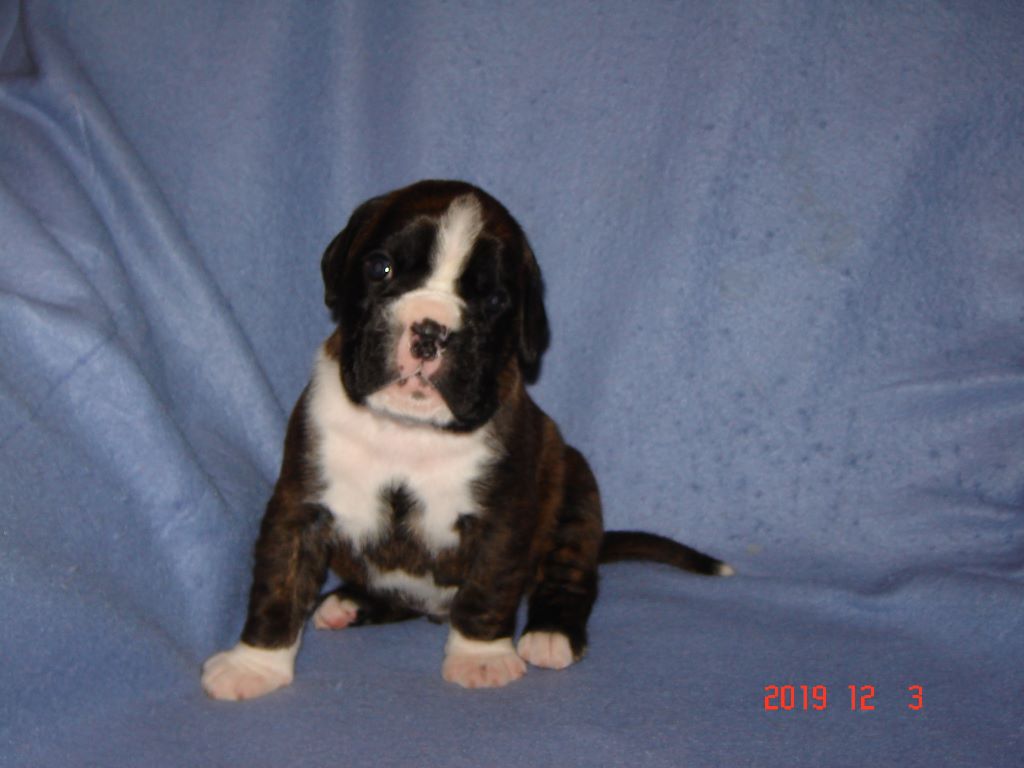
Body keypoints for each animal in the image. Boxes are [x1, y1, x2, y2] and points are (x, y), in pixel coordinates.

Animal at [201, 179, 731, 699]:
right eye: (380, 267)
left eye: (494, 302)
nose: (431, 330)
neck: (407, 429)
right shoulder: (301, 507)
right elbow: (279, 584)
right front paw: (255, 663)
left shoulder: (500, 519)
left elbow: (488, 587)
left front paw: (481, 657)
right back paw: (351, 603)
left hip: (577, 494)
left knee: (570, 578)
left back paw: (551, 633)